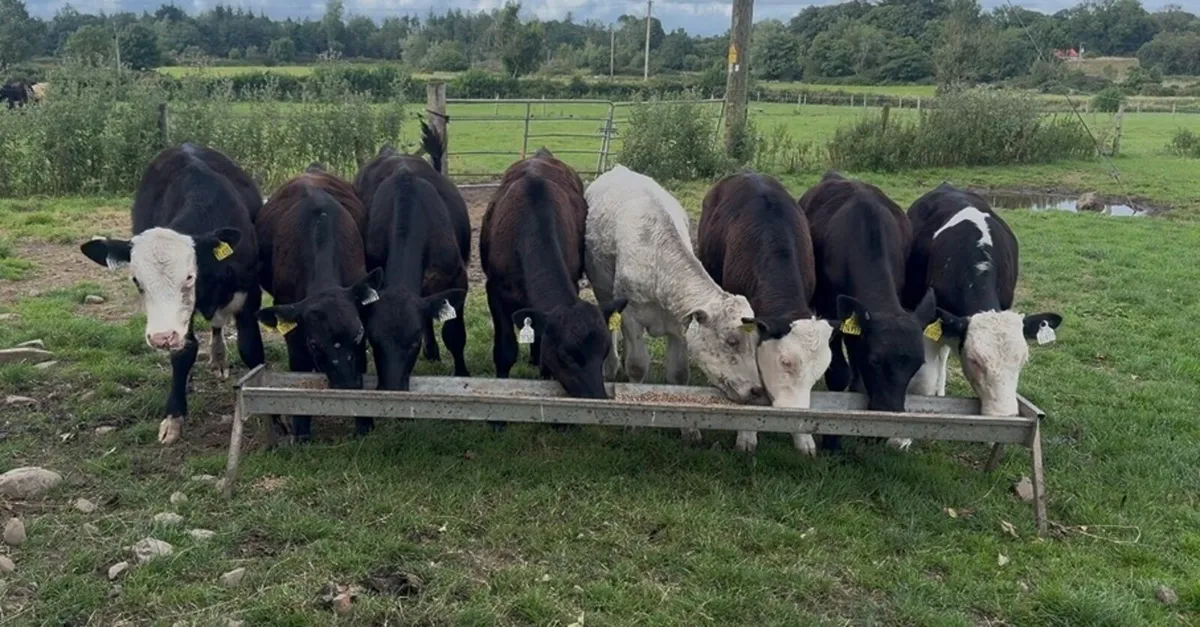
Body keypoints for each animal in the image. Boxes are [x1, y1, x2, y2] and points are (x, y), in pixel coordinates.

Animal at [79, 144, 265, 446]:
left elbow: (251, 349)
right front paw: (174, 416)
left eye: (189, 276)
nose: (161, 337)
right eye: (137, 281)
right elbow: (184, 353)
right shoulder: (179, 323)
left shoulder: (250, 296)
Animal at [255, 170, 381, 441]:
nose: (345, 385)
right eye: (314, 344)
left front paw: (364, 424)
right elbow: (299, 366)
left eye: (359, 334)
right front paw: (301, 431)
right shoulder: (292, 324)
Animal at [356, 121, 471, 383]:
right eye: (374, 341)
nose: (391, 385)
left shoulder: (457, 280)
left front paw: (461, 372)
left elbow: (454, 334)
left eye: (413, 342)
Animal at [585, 165, 764, 444]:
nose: (756, 390)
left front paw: (689, 430)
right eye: (731, 341)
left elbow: (679, 374)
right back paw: (611, 366)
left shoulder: (681, 325)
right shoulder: (632, 317)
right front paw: (633, 424)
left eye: (756, 341)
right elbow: (637, 365)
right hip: (603, 288)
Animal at [800, 171, 938, 453]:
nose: (888, 415)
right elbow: (839, 373)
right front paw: (832, 441)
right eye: (875, 360)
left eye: (918, 364)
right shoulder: (831, 311)